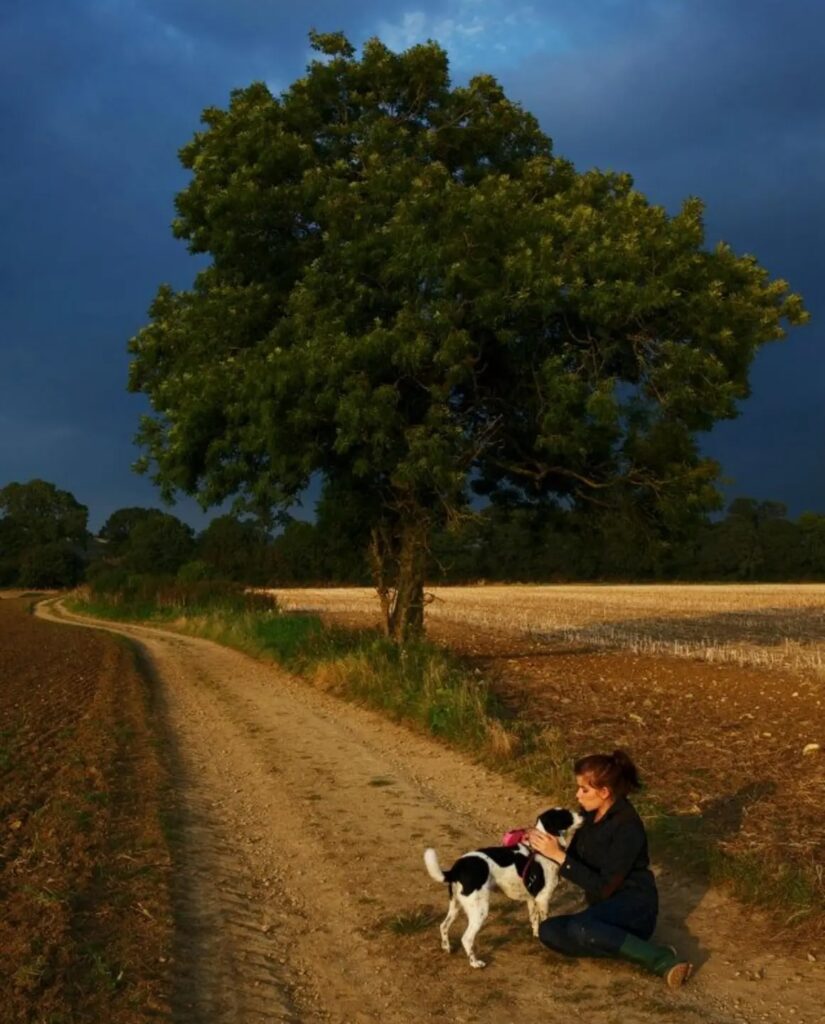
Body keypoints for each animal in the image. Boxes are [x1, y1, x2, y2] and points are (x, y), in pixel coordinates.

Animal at [423, 806, 585, 966]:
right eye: (566, 815)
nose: (583, 813)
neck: (541, 850)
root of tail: (456, 868)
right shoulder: (543, 899)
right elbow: (543, 921)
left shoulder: (532, 899)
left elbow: (534, 920)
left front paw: (536, 935)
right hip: (480, 910)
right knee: (467, 938)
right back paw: (475, 963)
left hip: (456, 905)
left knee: (443, 926)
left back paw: (446, 947)